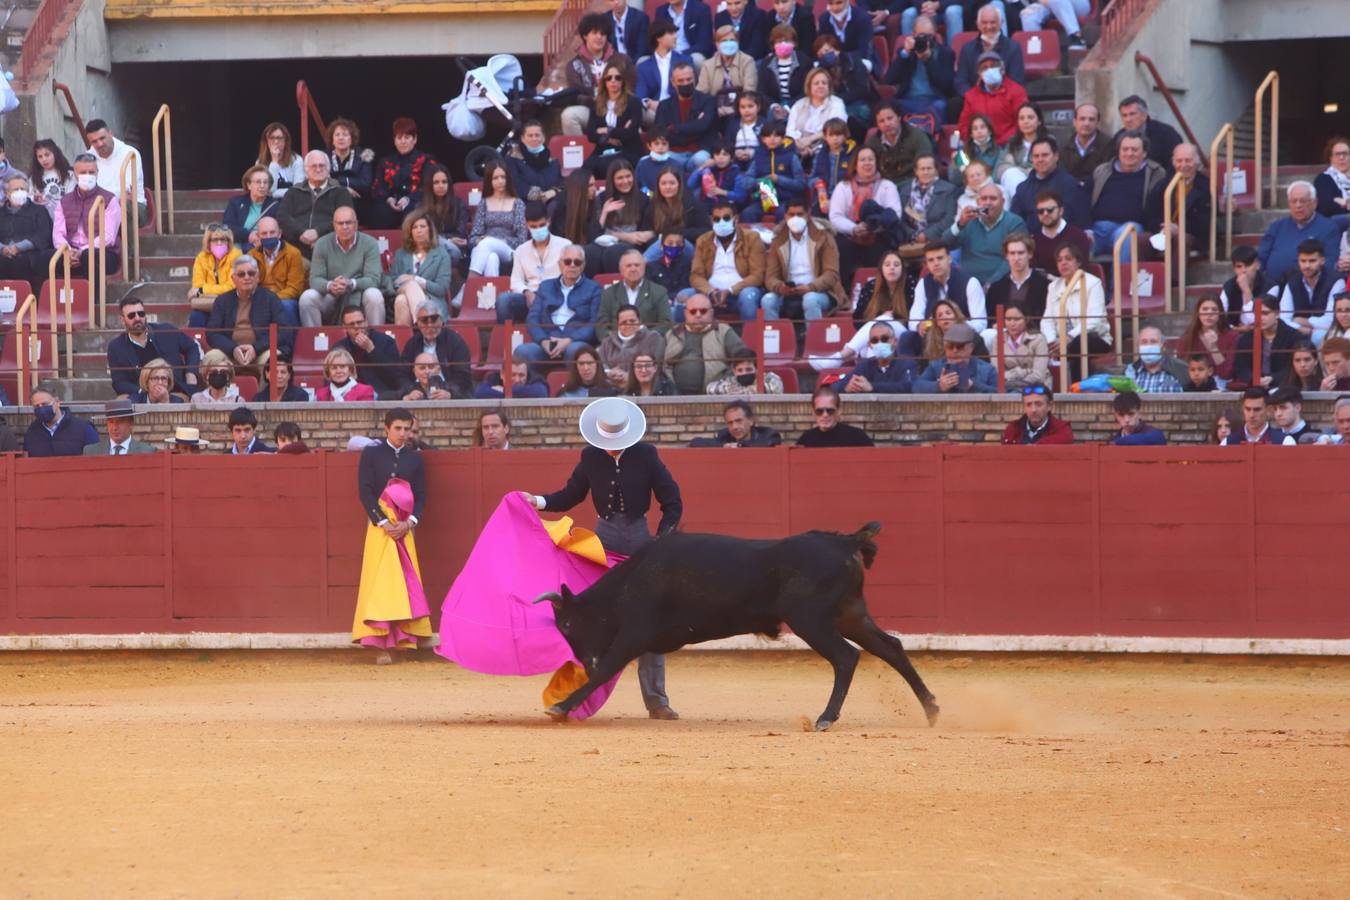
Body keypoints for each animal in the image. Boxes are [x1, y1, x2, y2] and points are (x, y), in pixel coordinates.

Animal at [534, 523, 939, 728]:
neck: (633, 578)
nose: (583, 663)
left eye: (566, 623)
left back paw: (825, 718)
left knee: (845, 658)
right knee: (891, 648)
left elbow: (606, 671)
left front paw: (562, 707)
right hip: (850, 614)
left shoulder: (634, 633)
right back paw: (931, 710)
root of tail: (845, 542)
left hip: (811, 620)